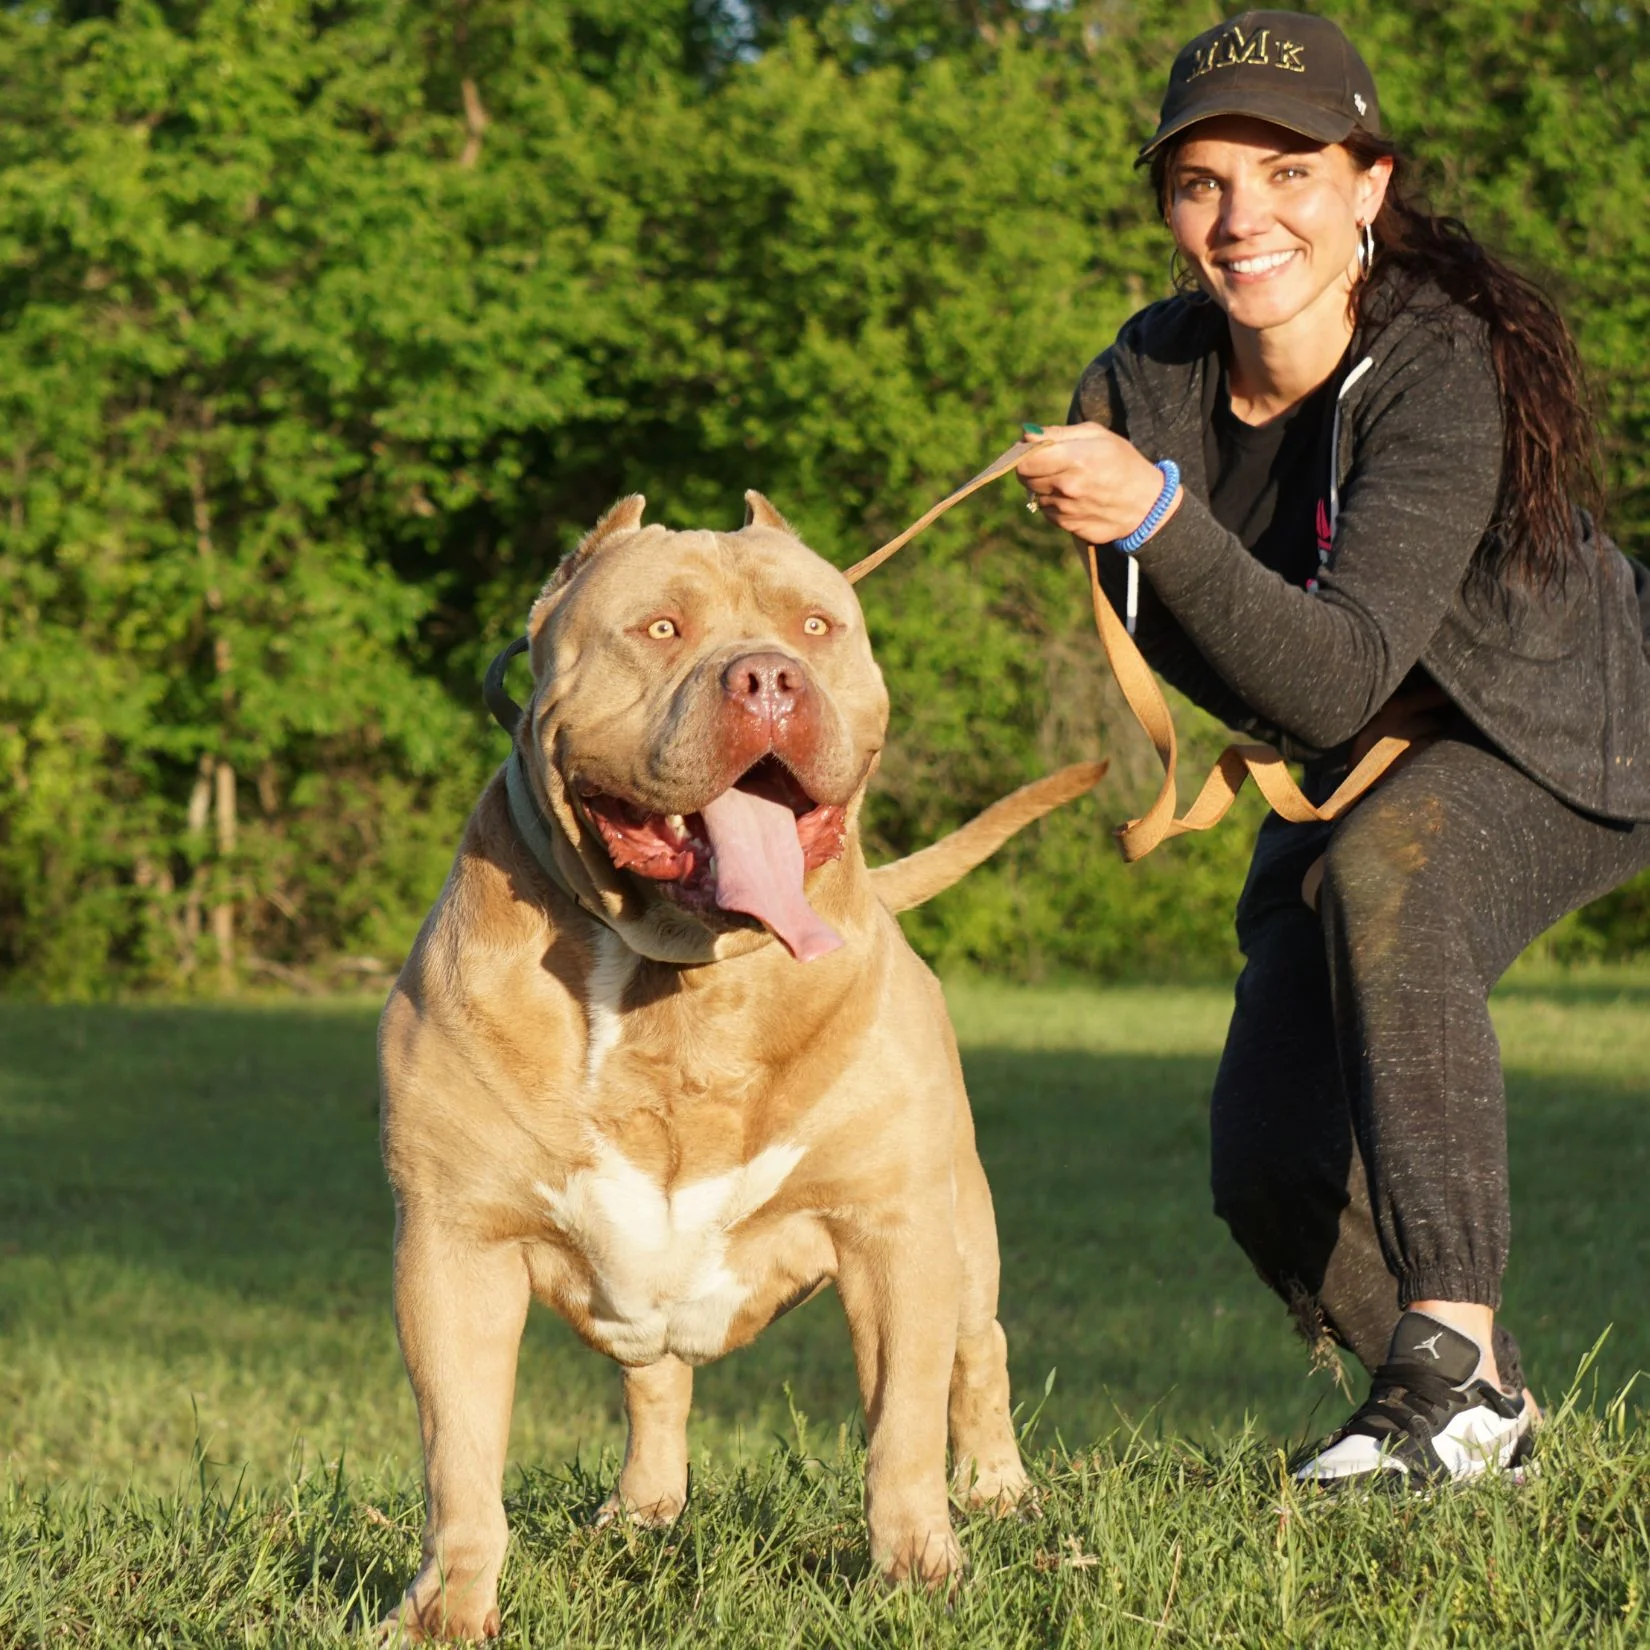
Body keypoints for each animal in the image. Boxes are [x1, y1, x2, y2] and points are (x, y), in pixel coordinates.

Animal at [377, 488, 1102, 1636]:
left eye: (816, 625)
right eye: (660, 628)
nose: (768, 677)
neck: (681, 978)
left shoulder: (894, 1235)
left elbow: (902, 1432)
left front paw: (919, 1575)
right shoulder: (455, 1247)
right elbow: (460, 1461)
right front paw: (446, 1613)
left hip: (963, 1225)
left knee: (976, 1353)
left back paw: (998, 1492)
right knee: (657, 1381)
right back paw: (643, 1510)